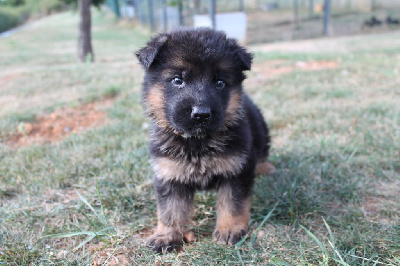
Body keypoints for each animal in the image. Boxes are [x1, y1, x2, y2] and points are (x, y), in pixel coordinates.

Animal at [136, 28, 274, 252]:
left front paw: (230, 230)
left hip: (261, 130)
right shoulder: (169, 173)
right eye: (177, 80)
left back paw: (265, 167)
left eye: (220, 83)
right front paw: (167, 236)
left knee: (263, 151)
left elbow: (233, 204)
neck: (197, 142)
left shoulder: (237, 170)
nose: (201, 114)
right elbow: (170, 210)